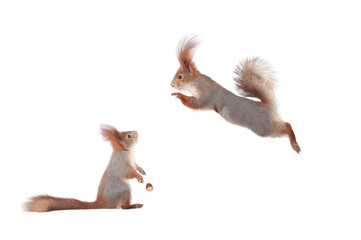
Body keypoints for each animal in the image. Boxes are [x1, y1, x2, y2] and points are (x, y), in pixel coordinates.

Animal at [170, 36, 300, 153]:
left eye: (180, 76)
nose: (171, 85)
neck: (196, 83)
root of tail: (267, 106)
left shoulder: (207, 95)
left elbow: (196, 103)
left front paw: (179, 95)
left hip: (262, 126)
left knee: (286, 125)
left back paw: (295, 145)